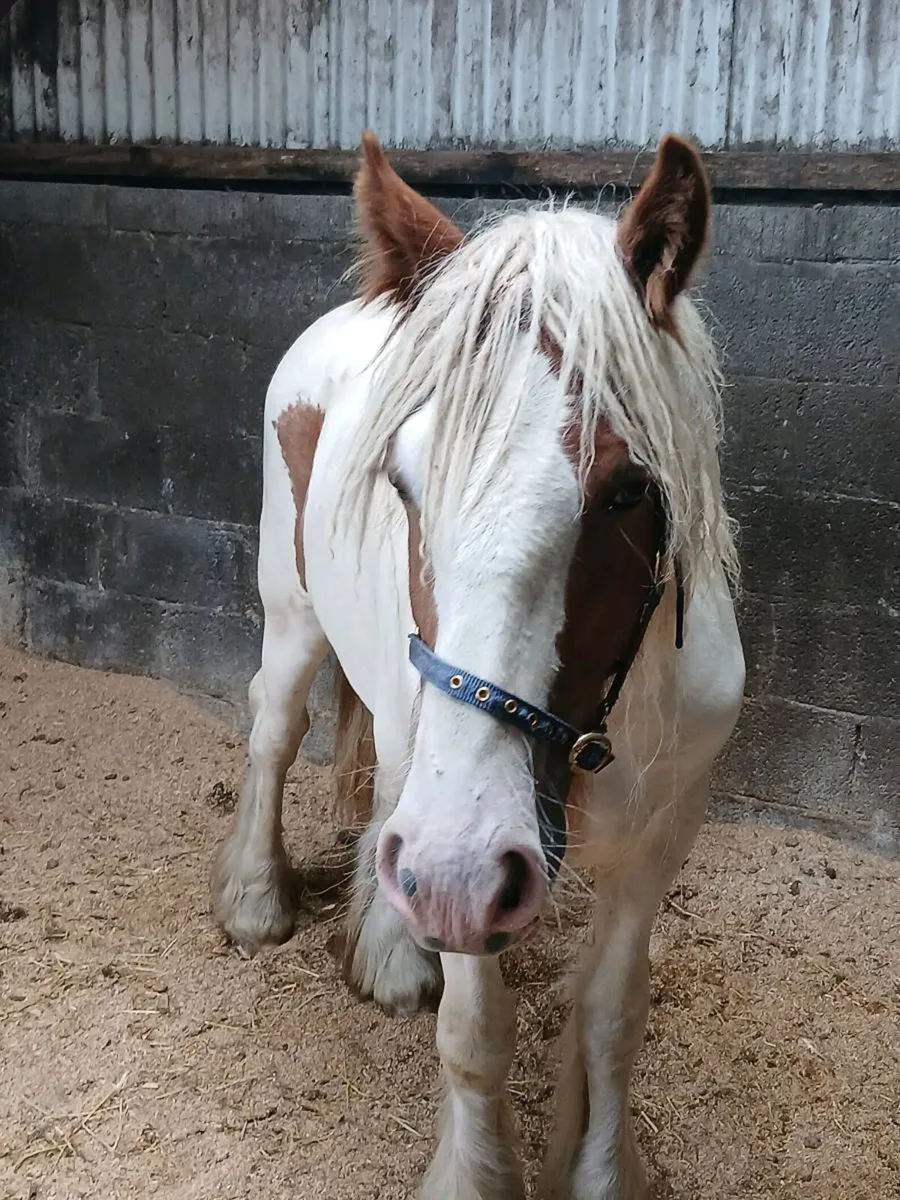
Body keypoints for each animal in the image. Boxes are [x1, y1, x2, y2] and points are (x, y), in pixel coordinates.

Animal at [211, 130, 745, 1199]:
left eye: (630, 489)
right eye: (403, 477)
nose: (457, 869)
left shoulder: (656, 840)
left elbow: (613, 1019)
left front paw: (598, 1168)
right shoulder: (454, 858)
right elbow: (475, 1033)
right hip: (293, 615)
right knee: (277, 729)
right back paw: (255, 899)